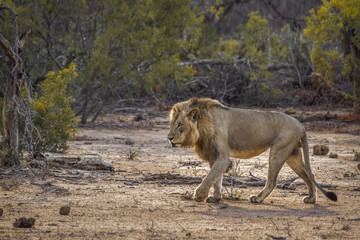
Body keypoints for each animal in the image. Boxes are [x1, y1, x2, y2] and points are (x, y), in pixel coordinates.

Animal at [169, 97, 338, 204]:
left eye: (179, 124)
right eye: (171, 124)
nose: (169, 138)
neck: (203, 125)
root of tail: (301, 125)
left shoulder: (222, 157)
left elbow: (209, 177)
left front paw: (199, 195)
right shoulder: (214, 156)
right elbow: (216, 179)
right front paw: (215, 198)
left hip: (278, 151)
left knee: (272, 181)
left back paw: (257, 198)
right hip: (292, 154)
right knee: (308, 176)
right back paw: (311, 199)